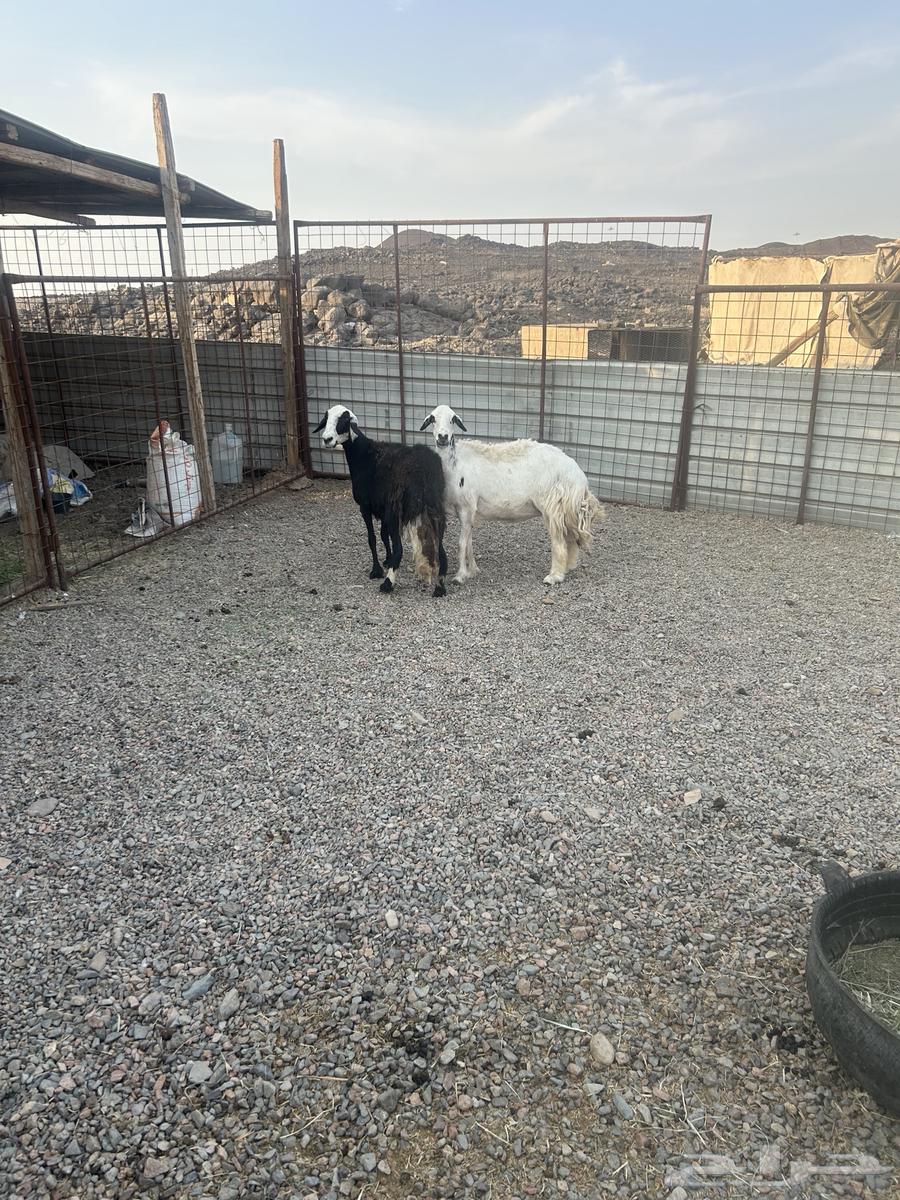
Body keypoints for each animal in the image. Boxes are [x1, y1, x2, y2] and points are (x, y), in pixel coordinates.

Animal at [314, 405, 448, 596]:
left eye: (344, 420)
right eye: (326, 419)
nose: (327, 439)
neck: (363, 454)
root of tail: (422, 468)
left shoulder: (365, 506)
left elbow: (372, 538)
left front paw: (376, 570)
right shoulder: (383, 508)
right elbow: (384, 536)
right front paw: (387, 560)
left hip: (396, 509)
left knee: (401, 549)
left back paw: (387, 584)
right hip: (435, 506)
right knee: (441, 549)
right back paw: (440, 586)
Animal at [419, 404, 604, 585]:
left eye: (452, 419)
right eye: (433, 419)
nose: (443, 437)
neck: (453, 464)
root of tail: (578, 474)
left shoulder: (466, 507)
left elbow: (462, 543)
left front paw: (460, 576)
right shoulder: (468, 512)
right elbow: (469, 543)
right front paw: (472, 571)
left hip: (552, 506)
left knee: (559, 540)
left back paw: (554, 576)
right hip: (567, 508)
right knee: (571, 538)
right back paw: (568, 567)